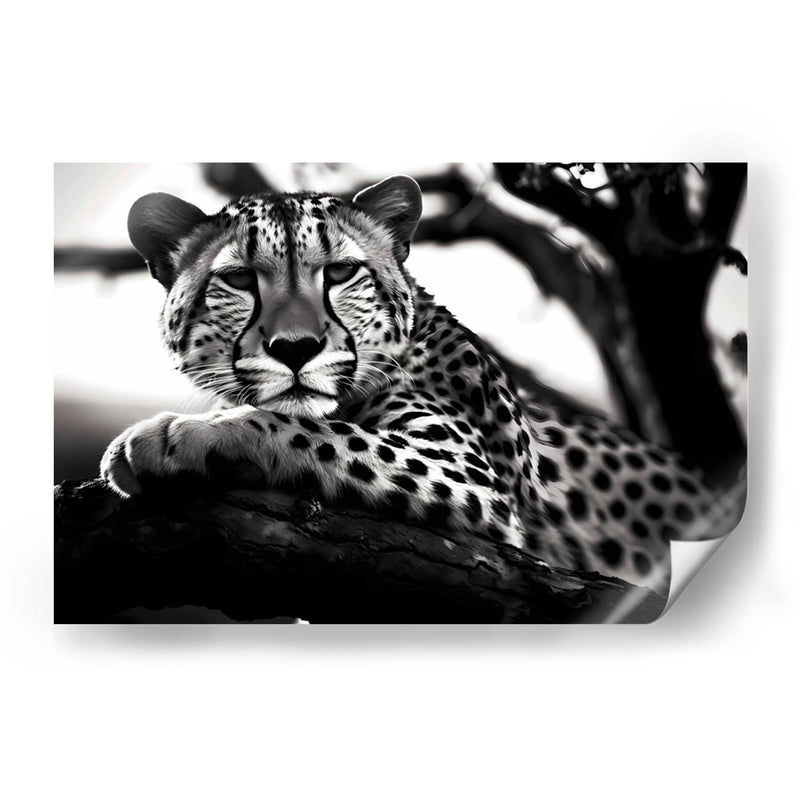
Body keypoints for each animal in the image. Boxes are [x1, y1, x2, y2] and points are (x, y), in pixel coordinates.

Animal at [101, 175, 735, 594]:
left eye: (340, 272)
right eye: (237, 280)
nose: (295, 348)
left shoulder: (470, 477)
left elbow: (309, 429)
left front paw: (178, 435)